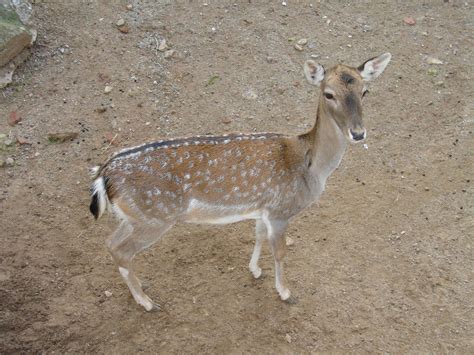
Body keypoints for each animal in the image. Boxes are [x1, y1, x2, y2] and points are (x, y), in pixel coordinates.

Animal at [90, 52, 392, 312]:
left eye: (365, 91)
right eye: (328, 94)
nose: (358, 133)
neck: (311, 167)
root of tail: (104, 174)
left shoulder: (263, 208)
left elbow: (258, 235)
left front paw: (255, 270)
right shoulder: (281, 210)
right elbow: (280, 251)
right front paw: (285, 292)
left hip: (133, 217)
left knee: (110, 243)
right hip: (155, 217)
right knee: (122, 251)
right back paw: (146, 302)